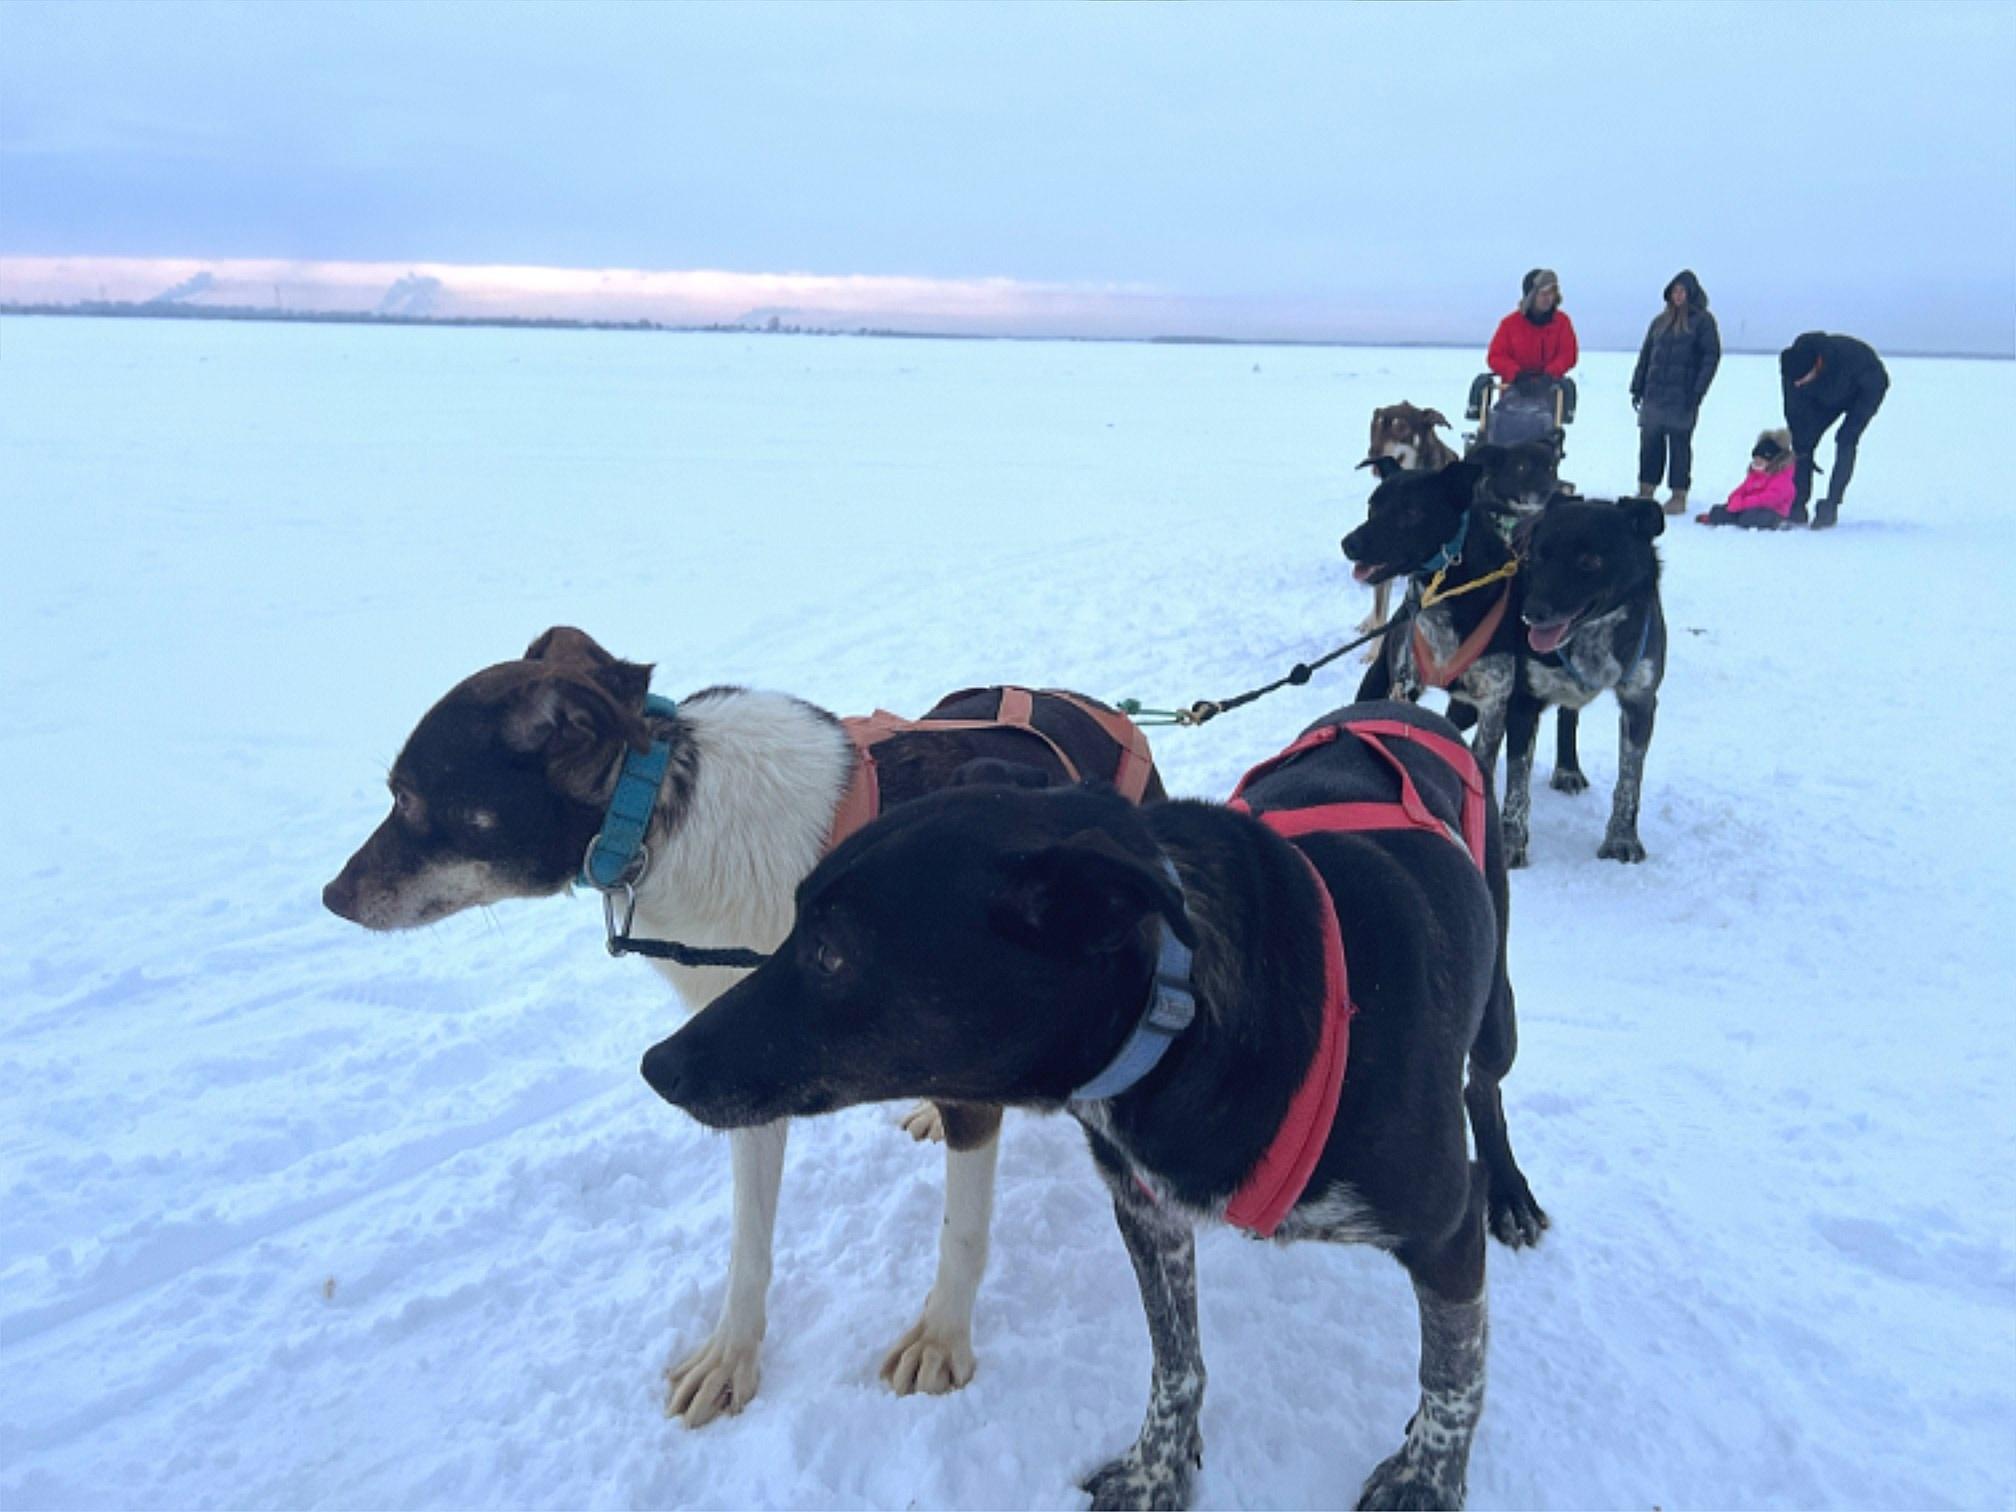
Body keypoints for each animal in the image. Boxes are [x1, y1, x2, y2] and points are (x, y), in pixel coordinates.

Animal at [320, 628, 1161, 1435]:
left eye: (409, 796)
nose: (330, 896)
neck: (666, 818)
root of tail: (1092, 706)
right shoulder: (740, 1067)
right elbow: (748, 1243)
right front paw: (731, 1356)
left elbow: (961, 1233)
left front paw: (941, 1339)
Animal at [641, 705, 1540, 1507]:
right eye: (795, 922)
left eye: (830, 954)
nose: (658, 1066)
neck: (1182, 1015)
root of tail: (1397, 706)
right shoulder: (1147, 1216)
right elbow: (1177, 1362)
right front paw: (1155, 1471)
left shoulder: (1443, 1233)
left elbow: (1452, 1377)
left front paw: (1427, 1479)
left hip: (1497, 1013)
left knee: (1485, 1087)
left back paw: (1513, 1193)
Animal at [1516, 499, 1669, 870]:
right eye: (1537, 556)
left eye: (1589, 561)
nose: (1531, 612)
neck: (1594, 633)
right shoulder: (1523, 699)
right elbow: (1517, 787)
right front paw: (1511, 845)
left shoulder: (1641, 703)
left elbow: (1629, 783)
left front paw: (1622, 839)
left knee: (1568, 715)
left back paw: (1568, 768)